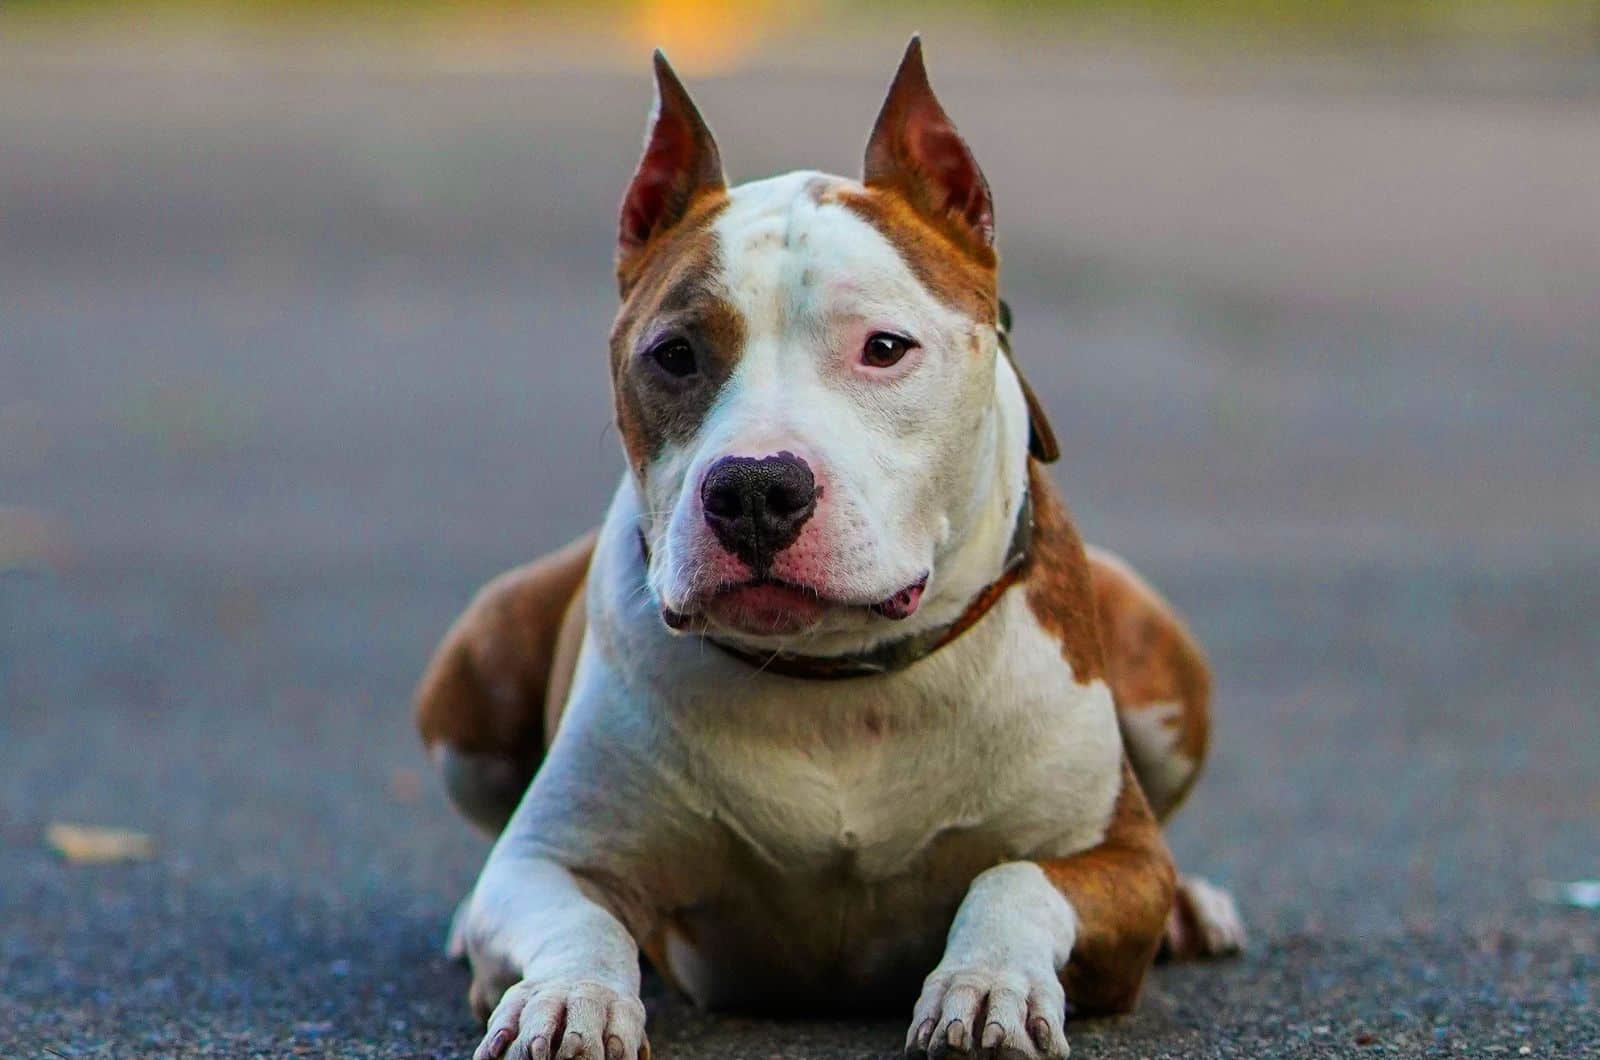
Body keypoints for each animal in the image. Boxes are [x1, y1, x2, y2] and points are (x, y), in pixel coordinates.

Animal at [412, 39, 1235, 1060]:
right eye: (673, 354)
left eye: (885, 347)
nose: (756, 489)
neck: (839, 684)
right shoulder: (547, 861)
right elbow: (581, 920)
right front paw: (569, 999)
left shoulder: (1115, 861)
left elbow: (1013, 880)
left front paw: (987, 986)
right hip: (477, 664)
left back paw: (1195, 909)